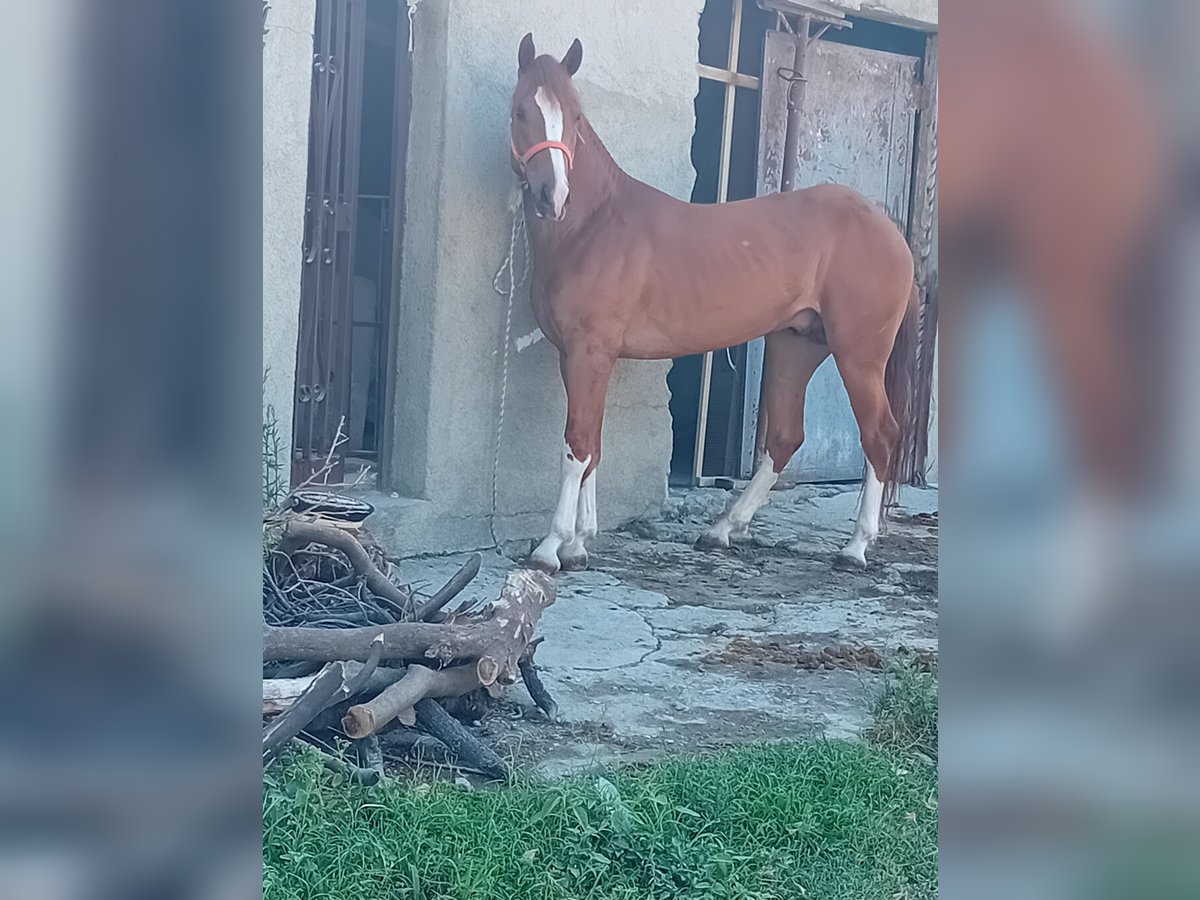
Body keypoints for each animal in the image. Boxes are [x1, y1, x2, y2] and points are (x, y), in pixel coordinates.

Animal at [511, 35, 912, 578]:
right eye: (521, 112)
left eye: (575, 116)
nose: (552, 197)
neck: (593, 225)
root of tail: (887, 226)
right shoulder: (582, 357)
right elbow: (592, 445)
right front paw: (579, 543)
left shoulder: (588, 353)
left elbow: (576, 447)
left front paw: (553, 546)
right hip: (796, 345)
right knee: (784, 438)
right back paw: (722, 529)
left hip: (859, 355)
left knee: (880, 435)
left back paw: (855, 547)